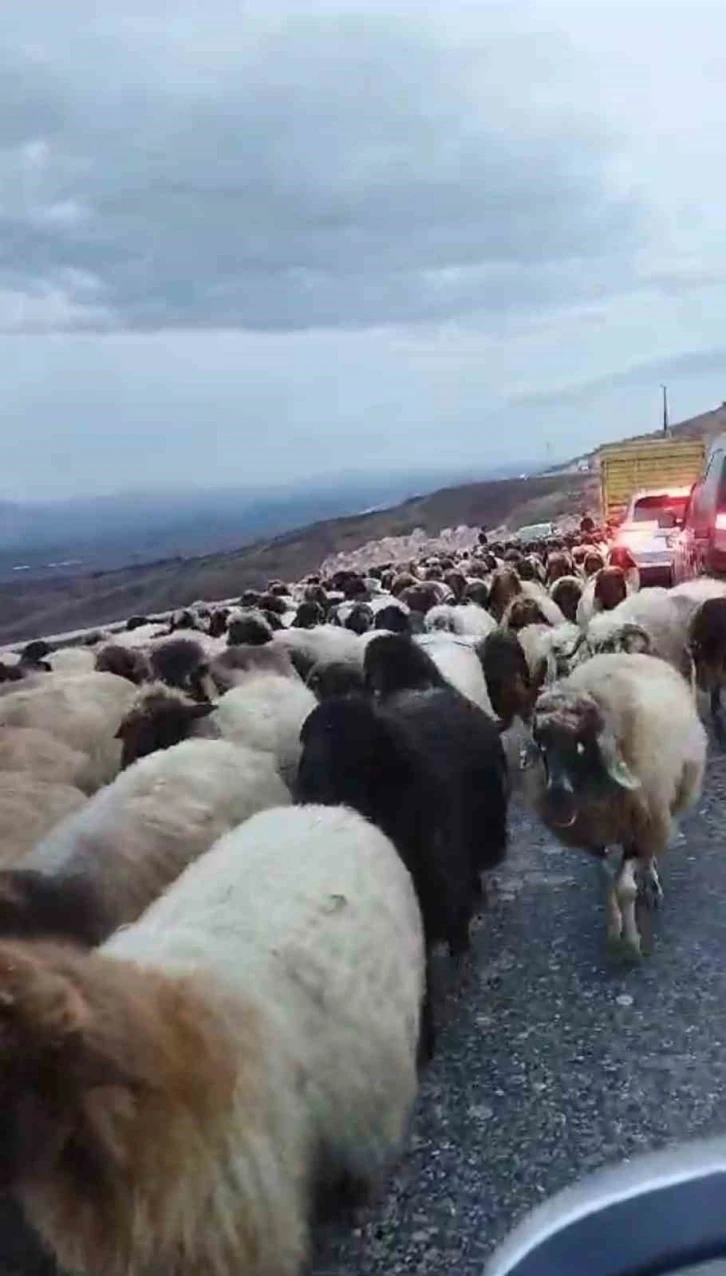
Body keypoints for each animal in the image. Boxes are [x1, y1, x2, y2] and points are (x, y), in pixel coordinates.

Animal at [523, 658, 704, 959]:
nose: (558, 798)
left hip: (659, 807)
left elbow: (625, 888)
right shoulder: (594, 837)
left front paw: (630, 946)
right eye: (542, 744)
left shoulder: (638, 826)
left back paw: (651, 883)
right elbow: (606, 881)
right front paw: (613, 933)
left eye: (581, 745)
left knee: (648, 852)